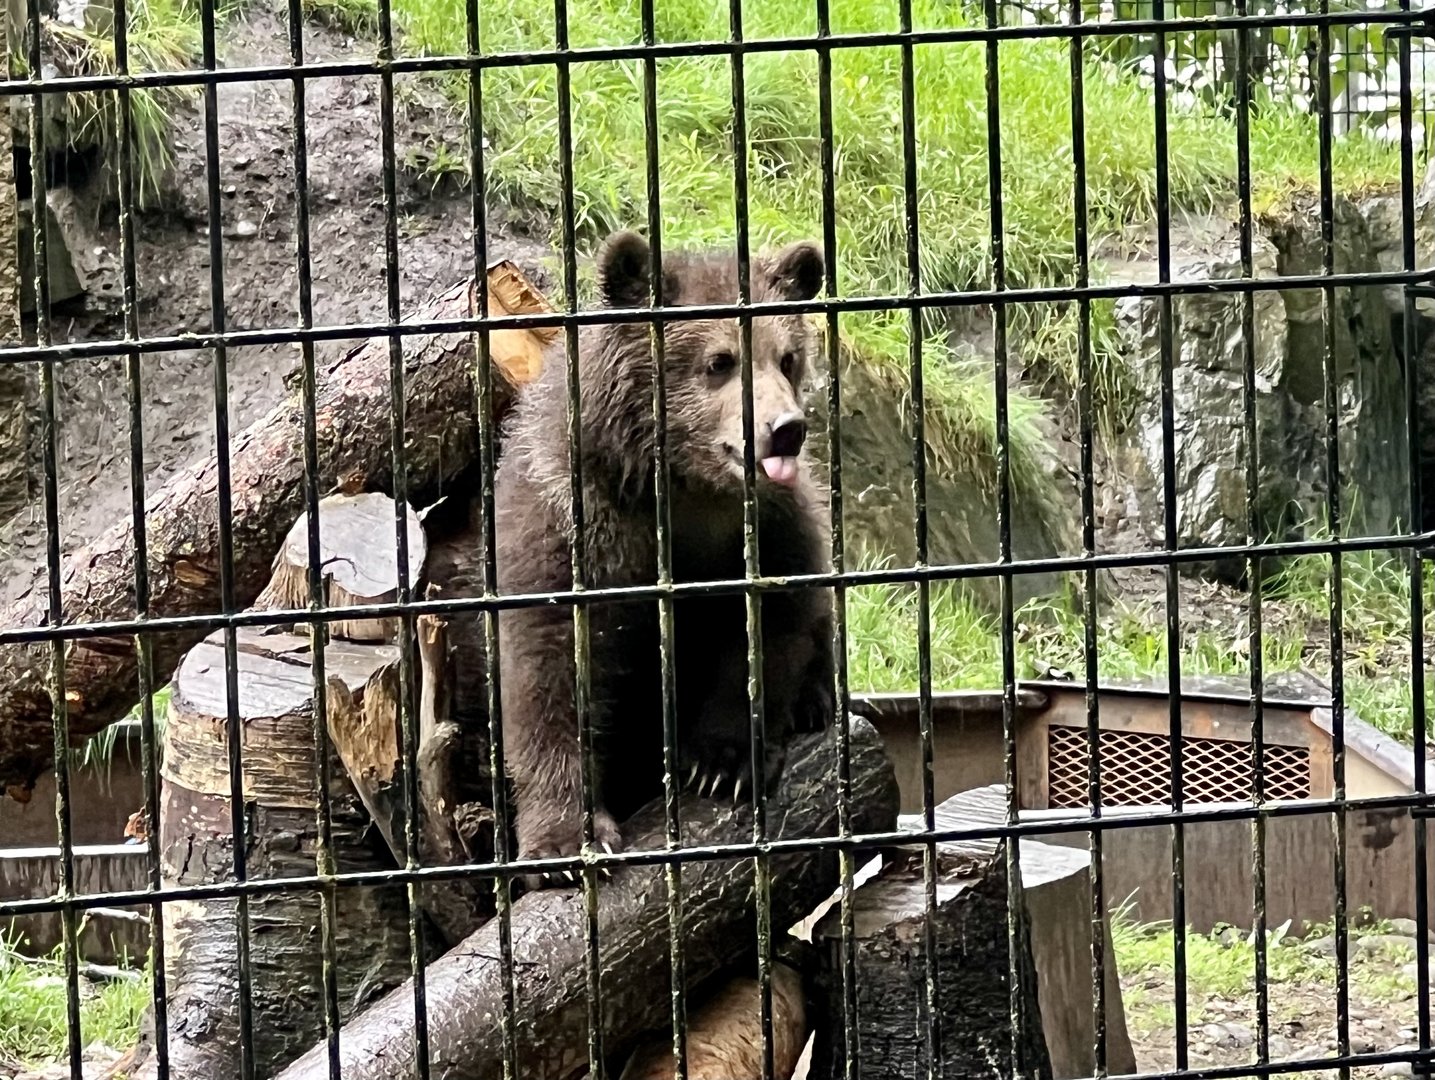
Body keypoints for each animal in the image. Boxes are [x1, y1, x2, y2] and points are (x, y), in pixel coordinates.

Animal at [493, 228, 835, 879]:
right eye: (719, 362)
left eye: (787, 358)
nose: (785, 429)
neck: (684, 486)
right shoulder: (571, 525)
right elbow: (550, 671)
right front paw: (564, 841)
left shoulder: (771, 527)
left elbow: (767, 630)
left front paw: (723, 761)